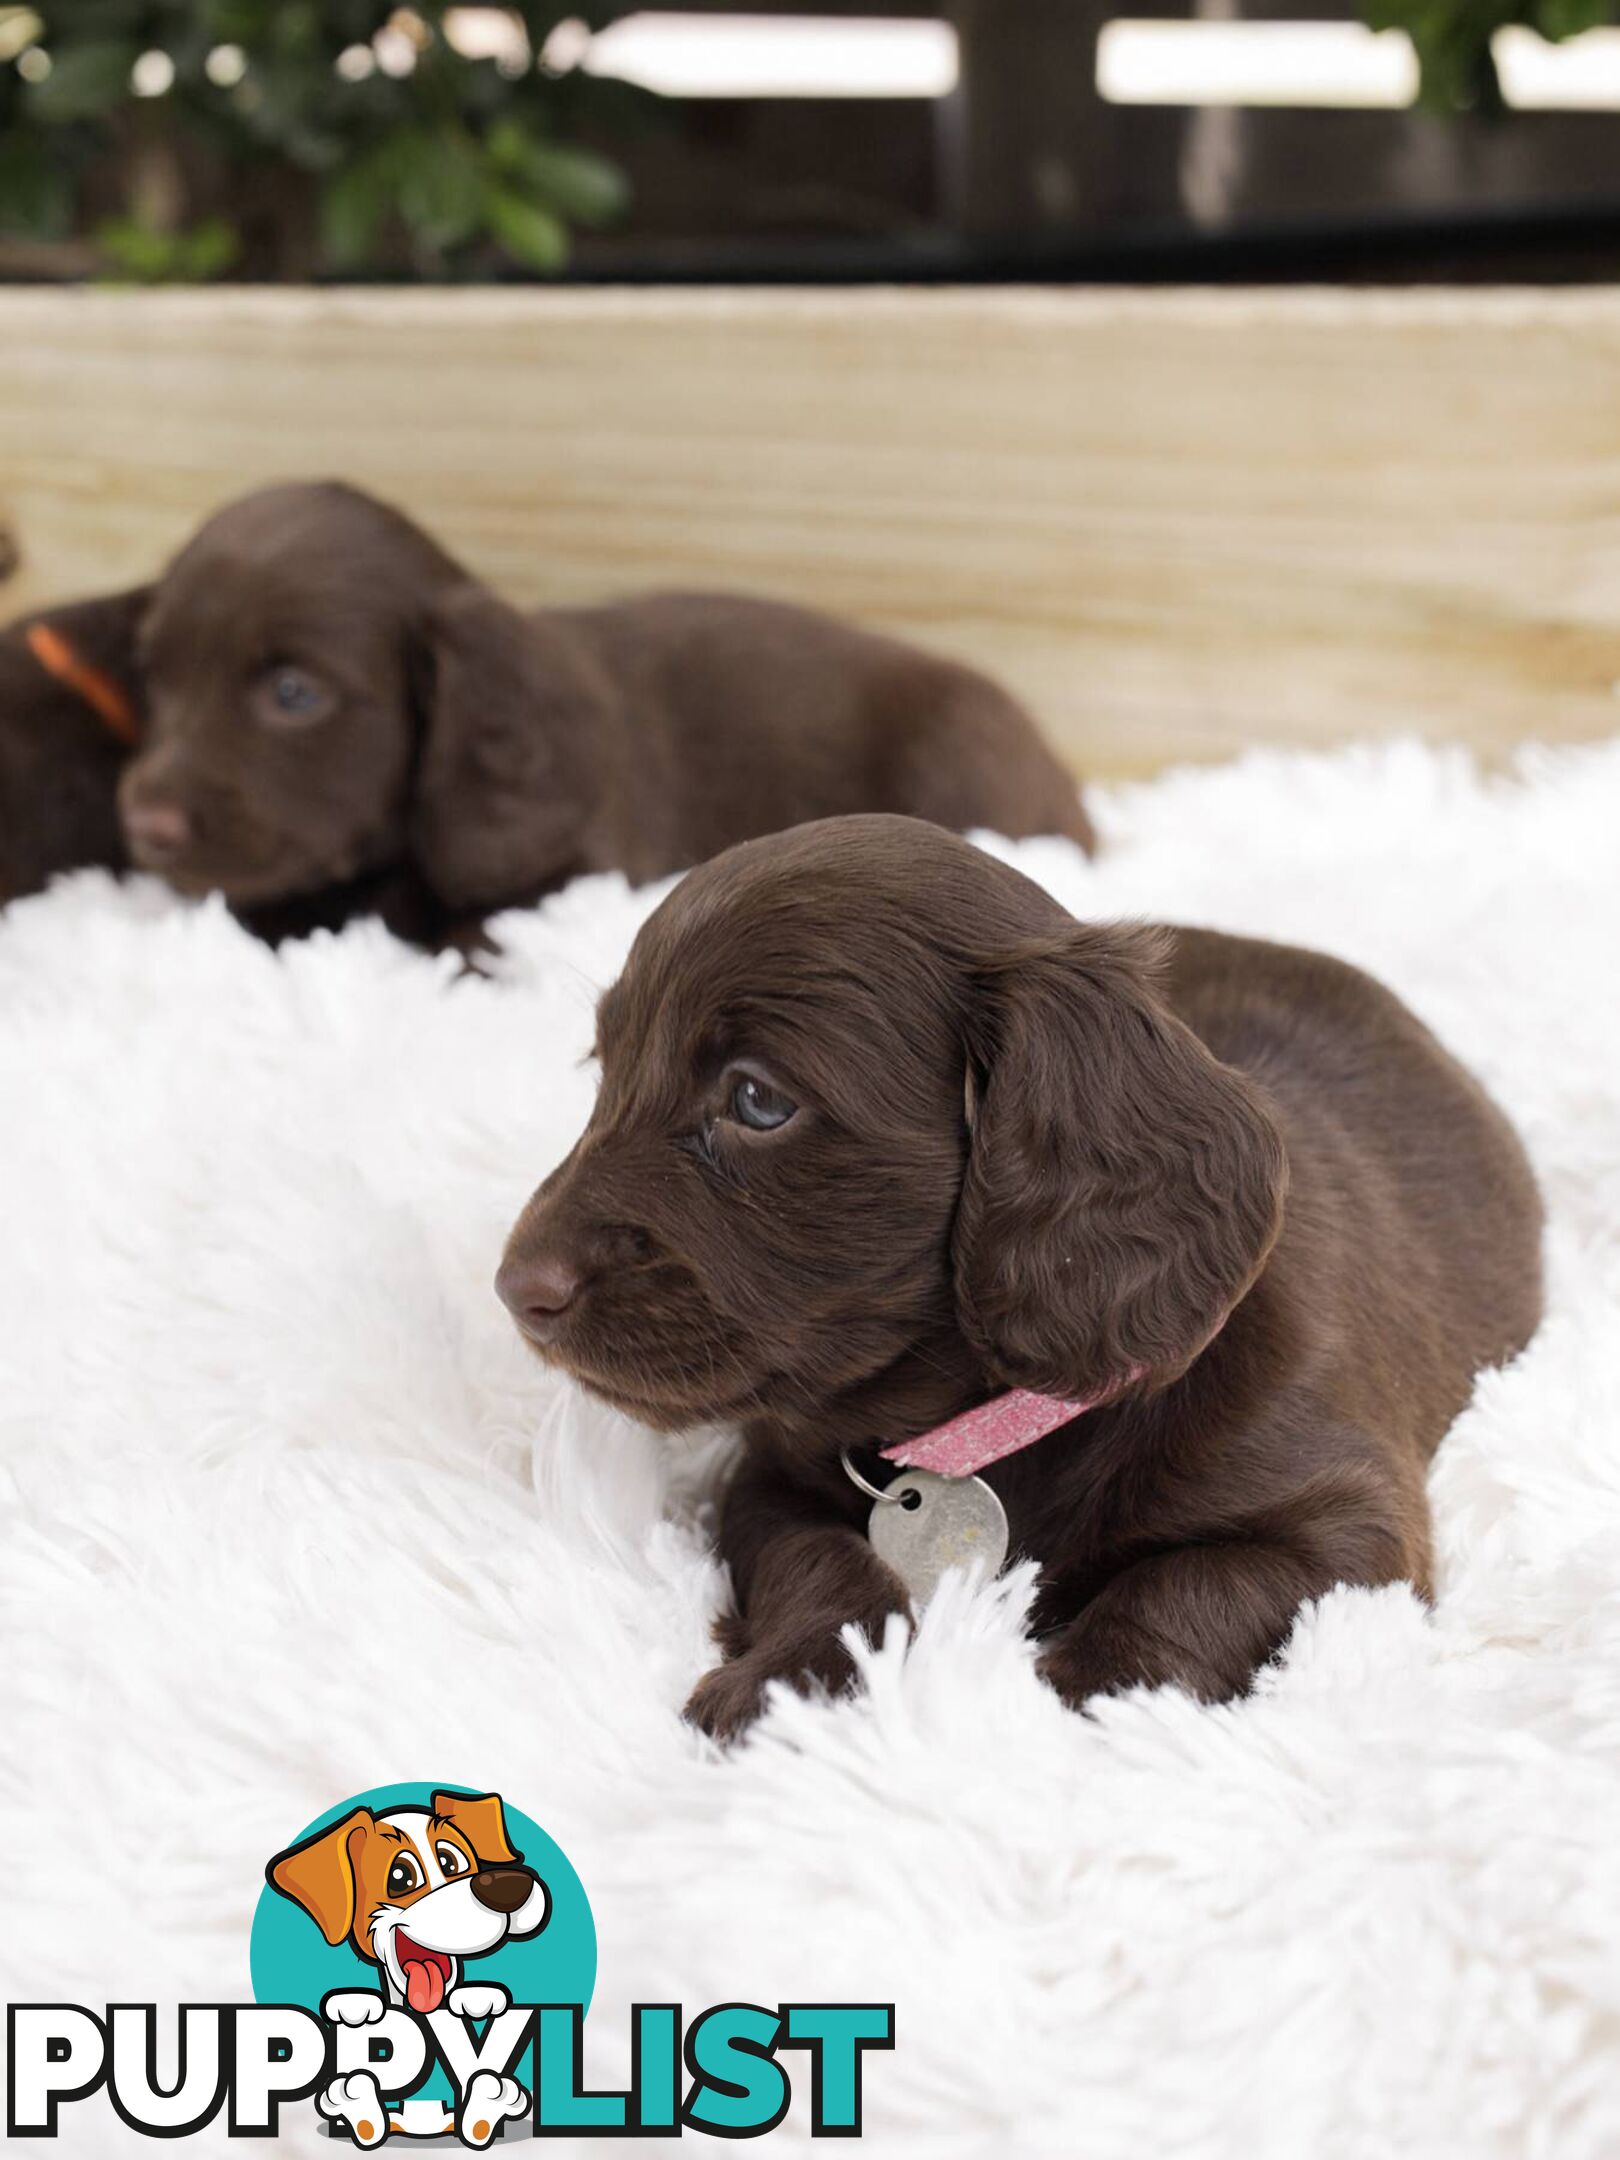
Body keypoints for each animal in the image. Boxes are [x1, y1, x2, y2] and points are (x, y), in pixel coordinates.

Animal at [498, 812, 1546, 1736]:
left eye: (758, 1100)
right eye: (605, 1067)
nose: (516, 1291)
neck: (988, 1424)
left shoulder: (1356, 1530)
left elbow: (1195, 1579)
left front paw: (1081, 1693)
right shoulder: (766, 1475)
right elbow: (820, 1560)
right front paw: (792, 1681)